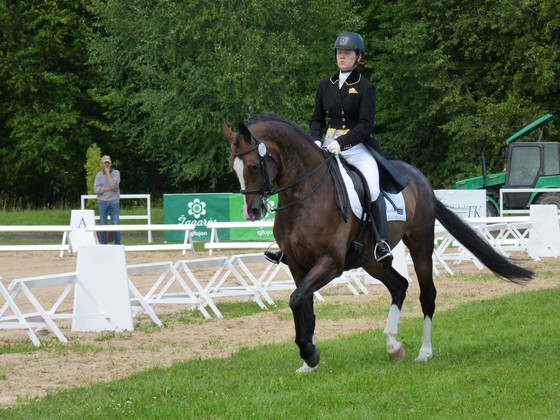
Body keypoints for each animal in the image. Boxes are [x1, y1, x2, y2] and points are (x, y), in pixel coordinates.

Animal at [220, 113, 532, 372]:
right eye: (233, 167)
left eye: (253, 165)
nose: (252, 211)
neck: (304, 195)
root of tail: (418, 178)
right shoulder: (297, 265)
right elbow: (303, 305)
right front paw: (309, 361)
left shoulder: (330, 264)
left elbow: (297, 300)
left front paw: (309, 352)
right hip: (371, 260)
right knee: (399, 286)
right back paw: (393, 347)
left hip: (420, 244)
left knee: (427, 294)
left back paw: (423, 353)